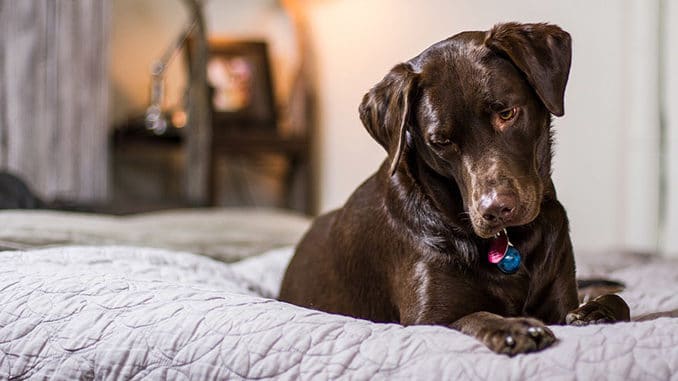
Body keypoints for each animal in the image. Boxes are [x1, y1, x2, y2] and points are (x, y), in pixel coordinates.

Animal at [278, 22, 628, 354]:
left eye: (506, 113)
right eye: (441, 141)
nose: (495, 209)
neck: (510, 242)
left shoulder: (560, 302)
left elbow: (616, 303)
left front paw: (594, 311)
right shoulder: (427, 319)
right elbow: (474, 316)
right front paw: (513, 327)